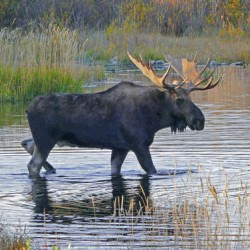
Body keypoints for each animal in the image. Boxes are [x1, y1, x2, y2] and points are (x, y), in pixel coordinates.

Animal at [23, 51, 221, 177]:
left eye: (191, 97)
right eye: (180, 99)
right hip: (46, 139)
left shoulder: (120, 147)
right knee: (33, 165)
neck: (154, 120)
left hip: (44, 139)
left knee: (26, 143)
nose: (200, 120)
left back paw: (52, 169)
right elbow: (152, 170)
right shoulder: (139, 144)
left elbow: (115, 169)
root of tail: (27, 108)